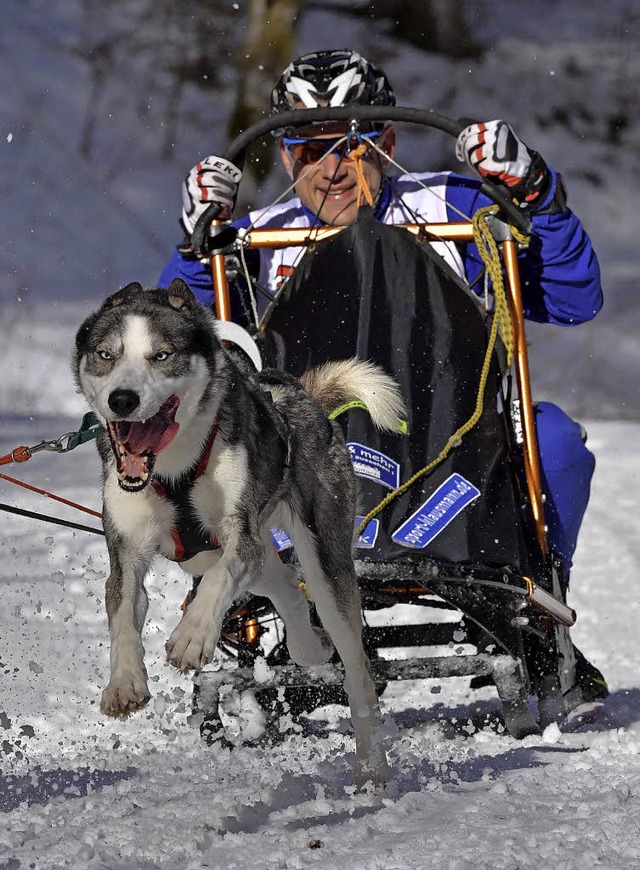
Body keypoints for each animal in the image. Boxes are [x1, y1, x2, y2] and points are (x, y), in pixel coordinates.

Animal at [74, 282, 404, 792]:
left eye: (161, 355)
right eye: (106, 355)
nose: (122, 399)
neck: (174, 468)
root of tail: (299, 396)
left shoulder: (237, 536)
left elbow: (217, 586)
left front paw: (192, 637)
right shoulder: (126, 552)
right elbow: (123, 615)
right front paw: (125, 681)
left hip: (325, 561)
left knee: (355, 668)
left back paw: (371, 768)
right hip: (238, 558)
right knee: (284, 583)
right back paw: (308, 645)